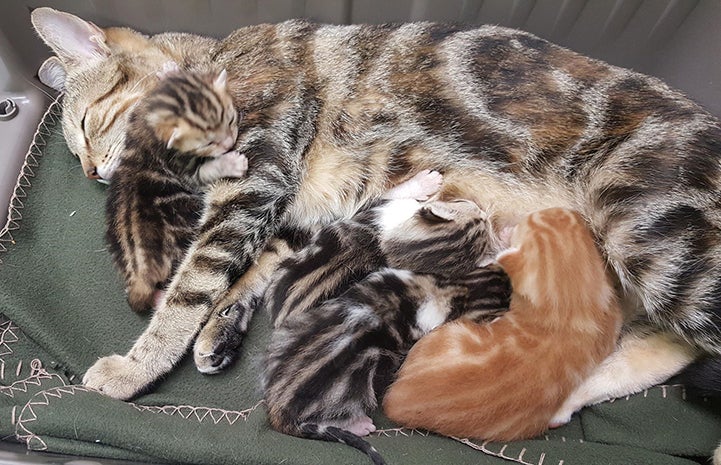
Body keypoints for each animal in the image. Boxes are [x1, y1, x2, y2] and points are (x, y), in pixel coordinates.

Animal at [105, 69, 245, 312]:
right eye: (207, 144)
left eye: (230, 119)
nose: (229, 143)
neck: (147, 122)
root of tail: (140, 271)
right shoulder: (182, 169)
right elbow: (205, 171)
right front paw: (231, 163)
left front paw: (168, 69)